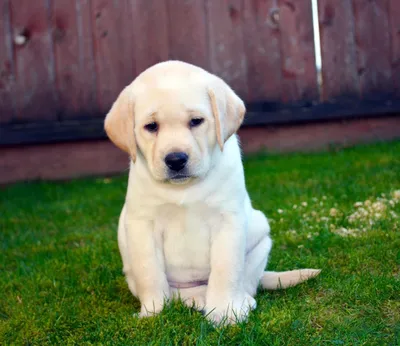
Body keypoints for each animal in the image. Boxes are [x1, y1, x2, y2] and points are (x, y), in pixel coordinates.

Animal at [105, 61, 318, 324]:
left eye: (196, 121)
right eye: (151, 126)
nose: (176, 160)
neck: (185, 188)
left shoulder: (228, 220)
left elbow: (225, 269)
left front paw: (225, 312)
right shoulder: (142, 225)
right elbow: (150, 273)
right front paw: (153, 312)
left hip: (261, 240)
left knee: (247, 283)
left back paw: (239, 301)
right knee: (177, 291)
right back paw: (194, 299)